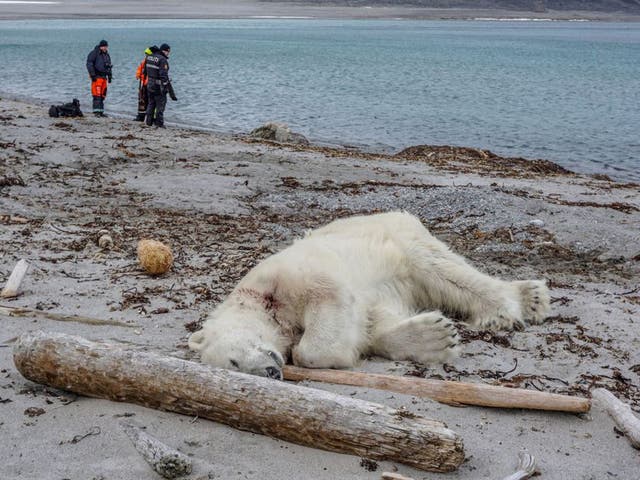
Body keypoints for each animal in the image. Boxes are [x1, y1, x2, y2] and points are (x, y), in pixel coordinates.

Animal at [189, 211, 551, 379]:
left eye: (233, 361)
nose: (271, 372)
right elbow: (373, 322)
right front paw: (434, 337)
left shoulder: (287, 276)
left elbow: (326, 305)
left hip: (400, 239)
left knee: (442, 270)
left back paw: (518, 302)